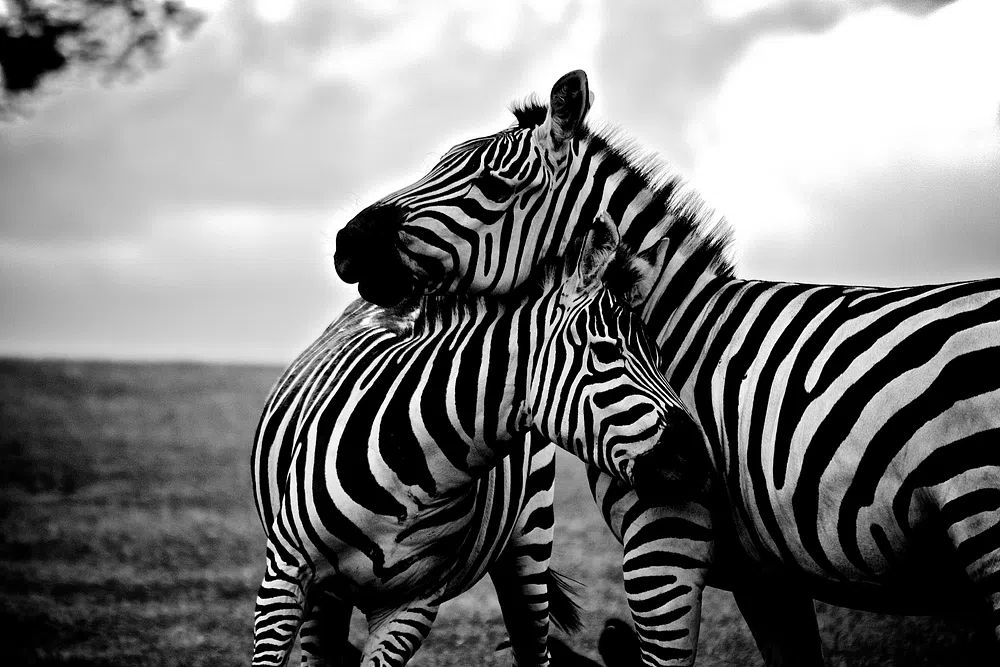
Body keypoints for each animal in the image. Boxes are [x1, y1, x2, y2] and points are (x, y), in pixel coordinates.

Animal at [250, 214, 705, 667]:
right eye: (606, 352)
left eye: (660, 358)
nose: (698, 456)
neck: (413, 468)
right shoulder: (285, 577)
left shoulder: (412, 605)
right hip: (326, 597)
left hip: (528, 546)